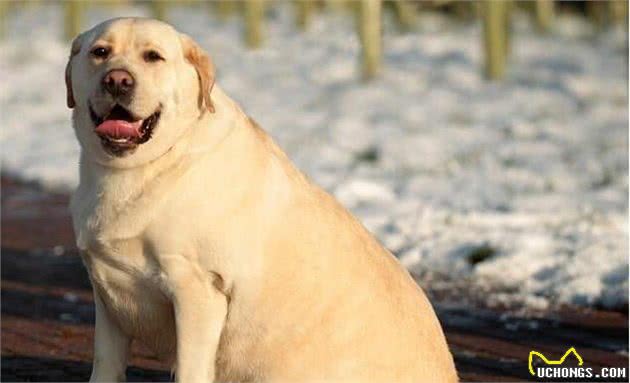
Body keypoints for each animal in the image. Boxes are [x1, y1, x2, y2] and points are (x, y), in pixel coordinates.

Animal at [66, 16, 456, 382]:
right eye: (100, 52)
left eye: (153, 57)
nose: (117, 80)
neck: (147, 166)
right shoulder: (108, 295)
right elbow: (105, 365)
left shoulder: (198, 290)